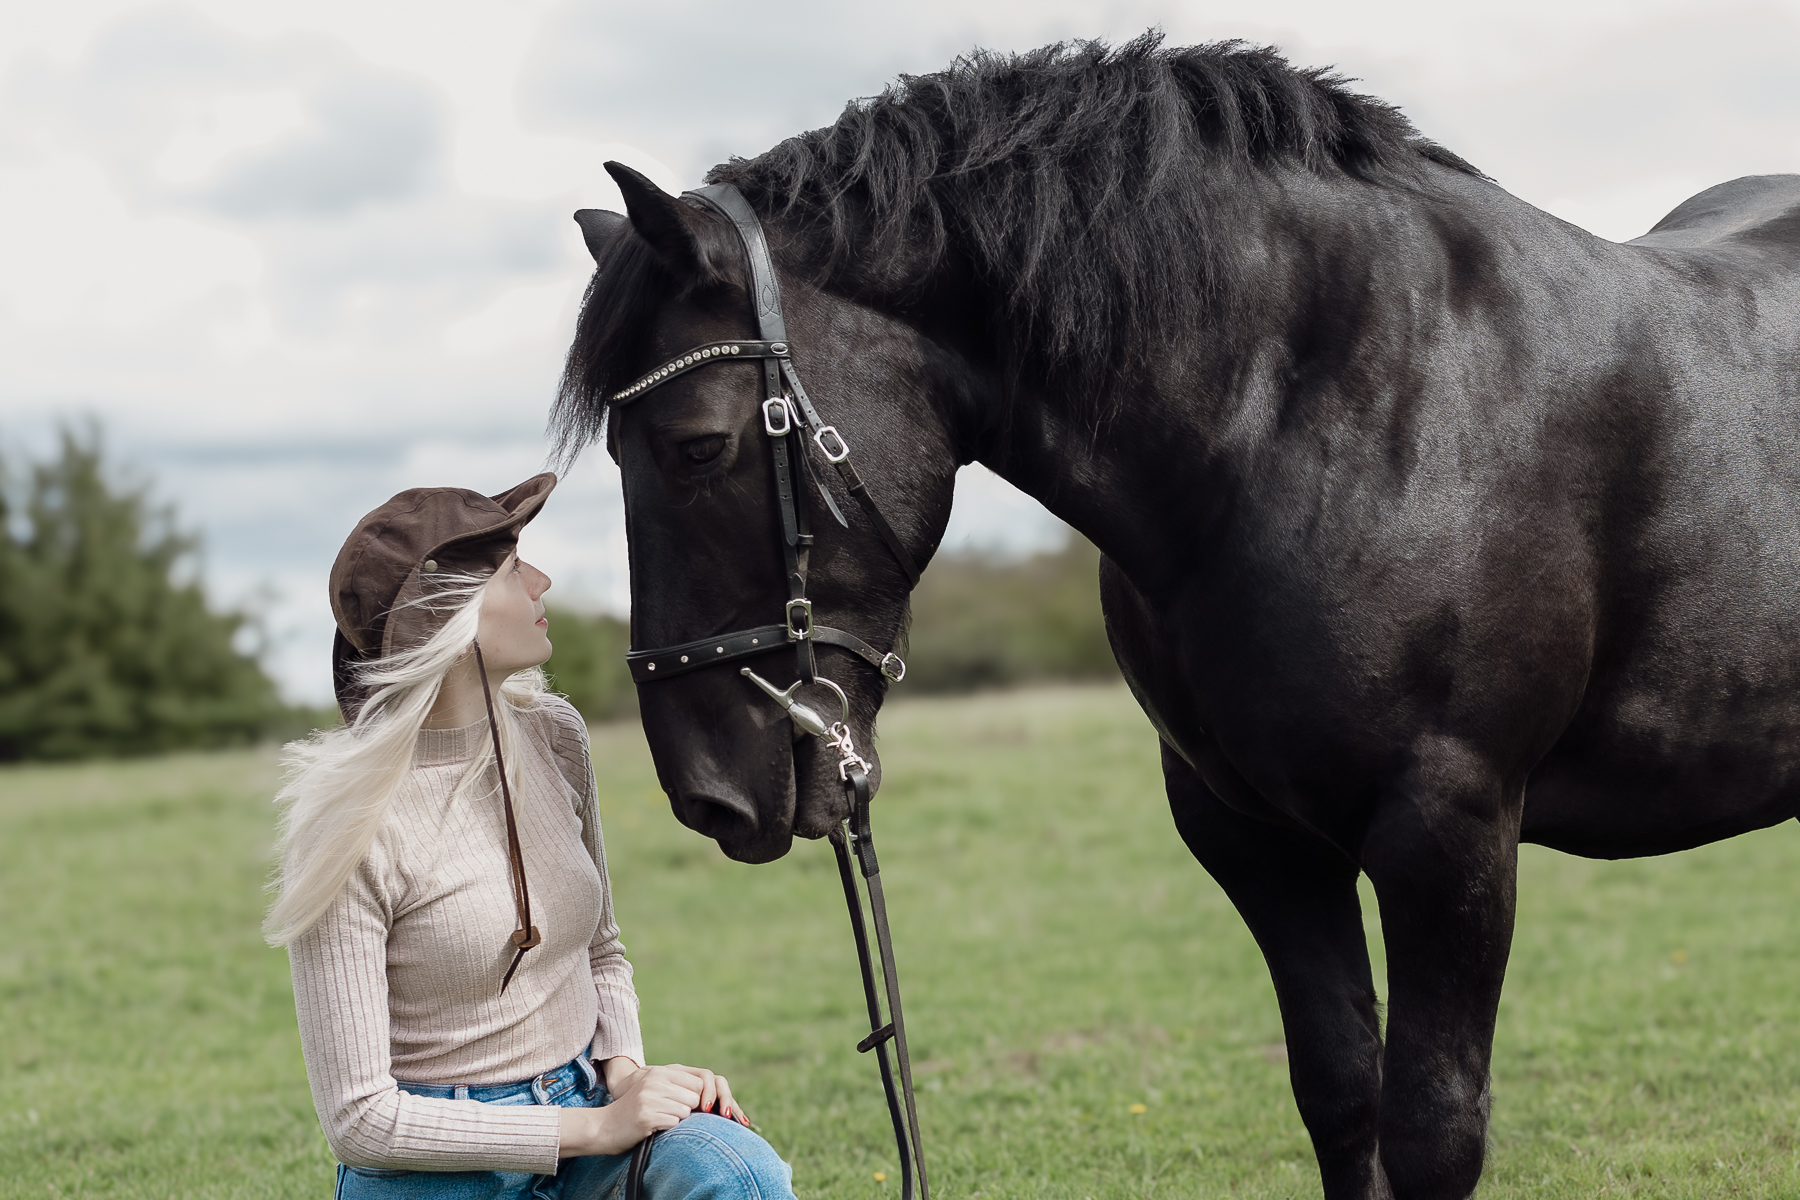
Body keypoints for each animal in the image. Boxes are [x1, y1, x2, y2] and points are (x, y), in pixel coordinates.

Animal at [551, 34, 1800, 1200]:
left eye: (697, 445)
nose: (708, 792)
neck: (1334, 408)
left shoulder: (1449, 831)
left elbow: (1433, 1133)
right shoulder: (1253, 834)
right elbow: (1341, 1097)